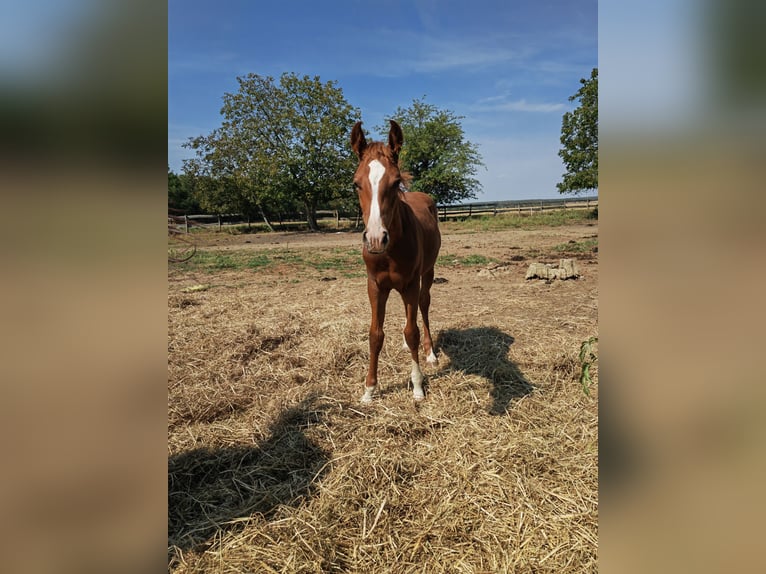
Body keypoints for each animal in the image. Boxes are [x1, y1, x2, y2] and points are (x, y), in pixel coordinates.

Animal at [352, 119, 440, 402]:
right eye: (356, 184)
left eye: (395, 181)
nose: (376, 239)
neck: (389, 252)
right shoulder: (375, 286)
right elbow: (375, 335)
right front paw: (369, 389)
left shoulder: (411, 284)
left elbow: (412, 332)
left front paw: (418, 386)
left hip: (427, 273)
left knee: (423, 306)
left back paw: (430, 353)